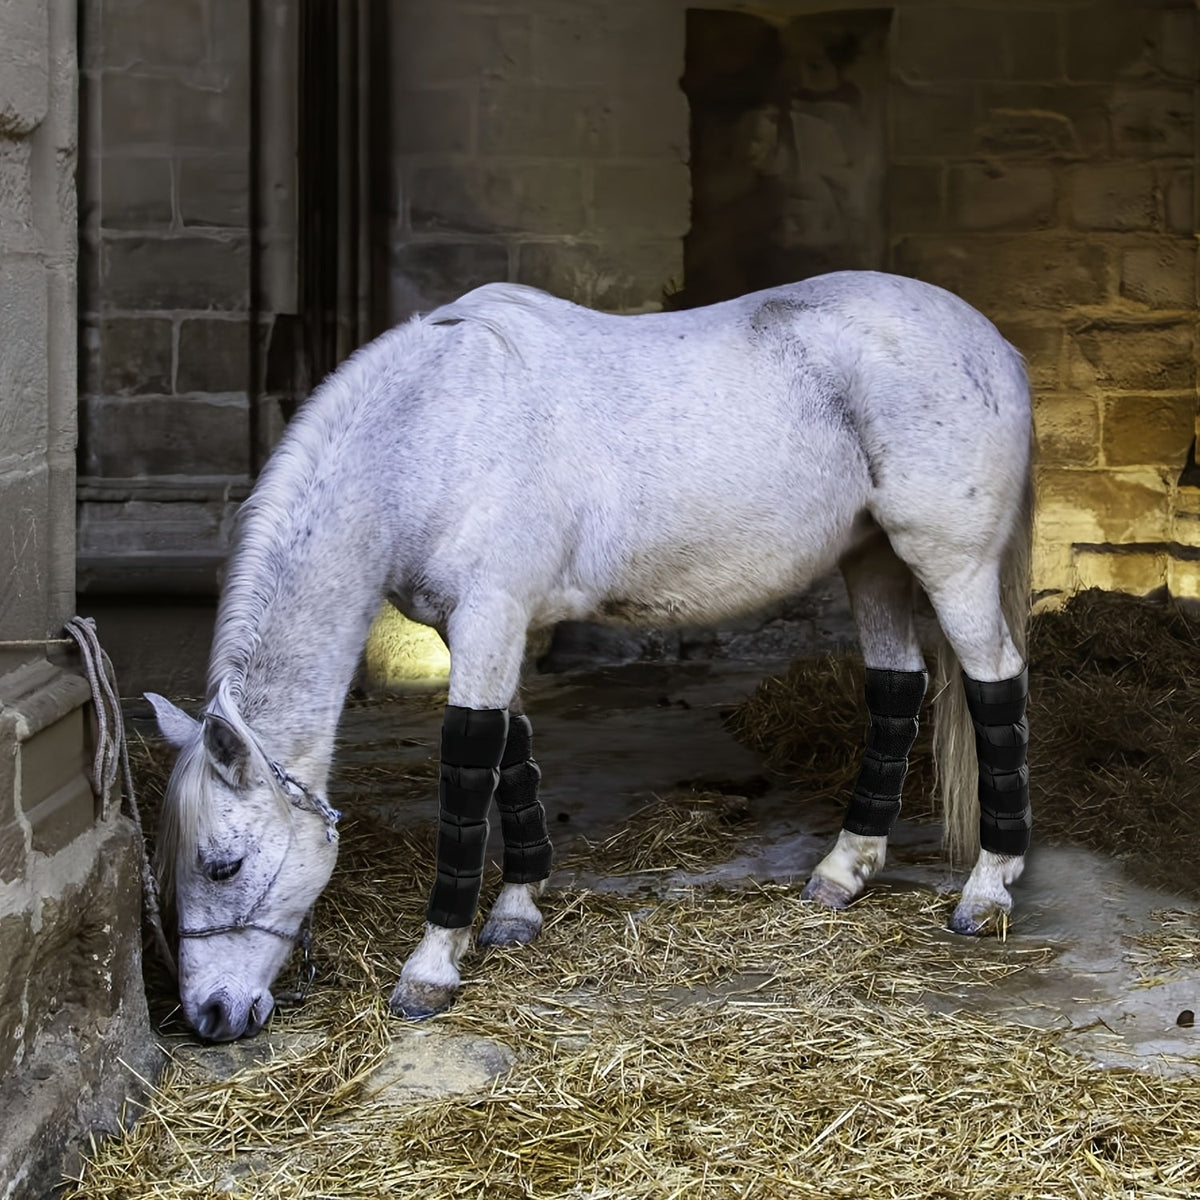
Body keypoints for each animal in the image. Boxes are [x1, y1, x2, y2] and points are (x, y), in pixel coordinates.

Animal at [146, 270, 1033, 1042]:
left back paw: (987, 891)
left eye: (222, 865)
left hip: (949, 566)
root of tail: (997, 344)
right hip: (872, 558)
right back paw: (845, 871)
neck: (434, 430)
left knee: (995, 685)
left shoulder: (490, 616)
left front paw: (431, 969)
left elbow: (467, 776)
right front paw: (516, 909)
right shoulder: (478, 630)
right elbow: (510, 758)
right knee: (896, 689)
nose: (211, 1016)